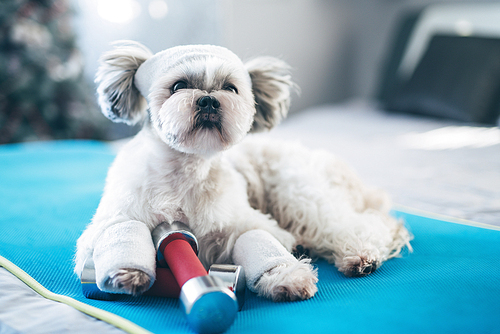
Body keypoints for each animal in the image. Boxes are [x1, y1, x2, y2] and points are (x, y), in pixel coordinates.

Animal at [73, 41, 410, 302]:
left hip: (299, 193)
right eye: (178, 86)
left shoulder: (247, 223)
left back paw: (360, 254)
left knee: (365, 223)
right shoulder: (114, 220)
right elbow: (120, 234)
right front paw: (127, 270)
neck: (186, 171)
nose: (209, 100)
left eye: (230, 88)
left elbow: (260, 243)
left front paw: (286, 275)